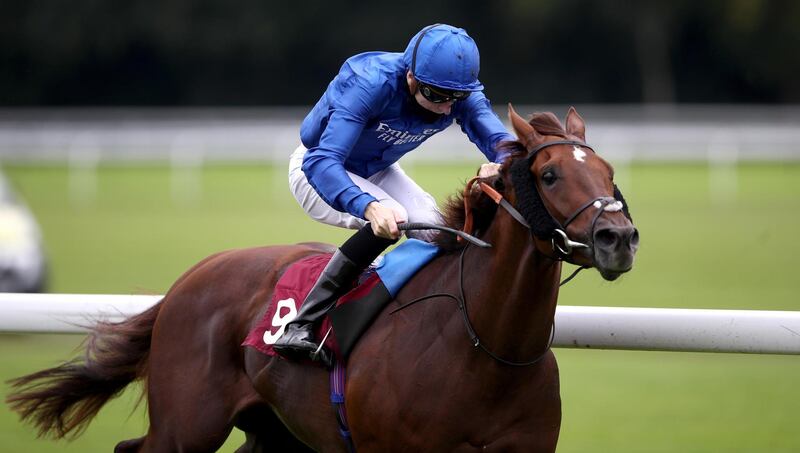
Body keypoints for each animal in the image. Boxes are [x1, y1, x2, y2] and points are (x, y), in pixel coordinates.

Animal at [4, 107, 636, 452]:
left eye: (609, 171)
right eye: (550, 175)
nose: (619, 237)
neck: (484, 345)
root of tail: (193, 276)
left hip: (275, 430)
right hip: (187, 425)